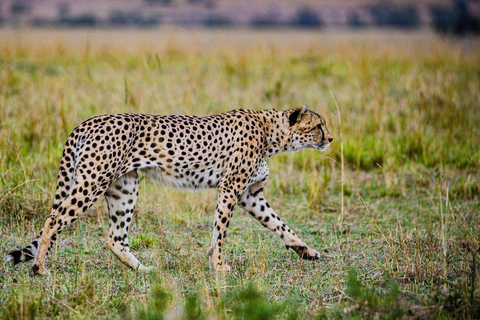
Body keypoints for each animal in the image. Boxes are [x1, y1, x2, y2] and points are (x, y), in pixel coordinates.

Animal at [5, 105, 332, 276]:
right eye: (318, 125)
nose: (330, 138)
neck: (272, 133)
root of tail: (87, 121)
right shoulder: (231, 188)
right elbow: (221, 232)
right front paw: (218, 265)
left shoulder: (251, 195)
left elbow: (281, 225)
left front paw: (308, 251)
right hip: (92, 182)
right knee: (52, 221)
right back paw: (40, 268)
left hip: (124, 187)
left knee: (114, 237)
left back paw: (142, 269)